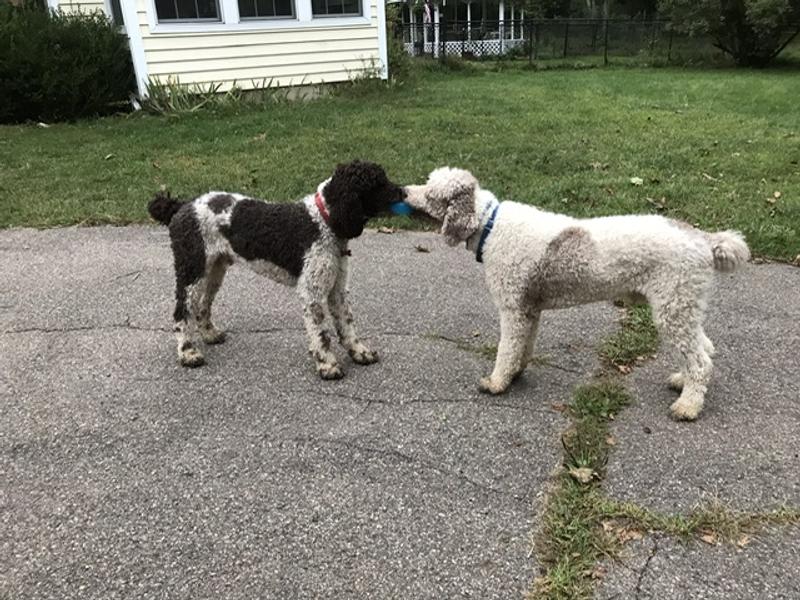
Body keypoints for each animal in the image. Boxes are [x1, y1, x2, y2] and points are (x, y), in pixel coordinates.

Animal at [406, 166, 752, 420]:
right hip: (685, 306)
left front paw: (496, 383)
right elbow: (523, 348)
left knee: (700, 360)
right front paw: (516, 373)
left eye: (431, 192)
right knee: (704, 348)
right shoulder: (529, 310)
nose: (405, 191)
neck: (491, 226)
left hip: (673, 307)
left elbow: (506, 349)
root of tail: (705, 239)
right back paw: (683, 382)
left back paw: (688, 406)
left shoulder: (513, 309)